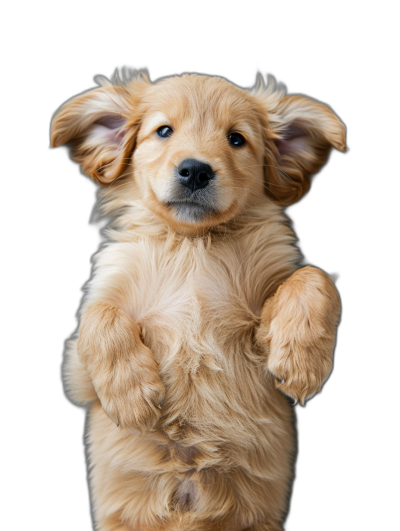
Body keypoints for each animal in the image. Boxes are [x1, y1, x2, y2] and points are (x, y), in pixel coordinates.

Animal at [49, 71, 344, 531]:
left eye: (237, 139)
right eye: (163, 131)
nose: (195, 171)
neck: (193, 243)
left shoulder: (259, 326)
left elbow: (313, 277)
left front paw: (301, 361)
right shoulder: (77, 372)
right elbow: (100, 314)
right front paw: (132, 395)